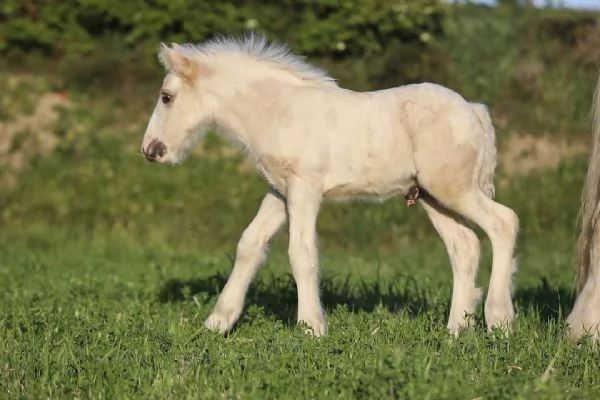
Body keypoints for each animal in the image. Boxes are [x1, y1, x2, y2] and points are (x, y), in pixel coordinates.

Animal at [138, 34, 516, 336]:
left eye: (166, 97)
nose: (150, 150)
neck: (278, 110)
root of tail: (473, 110)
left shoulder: (304, 188)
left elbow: (301, 252)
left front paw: (311, 329)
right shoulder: (279, 191)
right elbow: (250, 244)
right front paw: (217, 323)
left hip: (453, 188)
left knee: (503, 223)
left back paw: (499, 320)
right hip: (431, 196)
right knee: (465, 246)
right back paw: (457, 330)